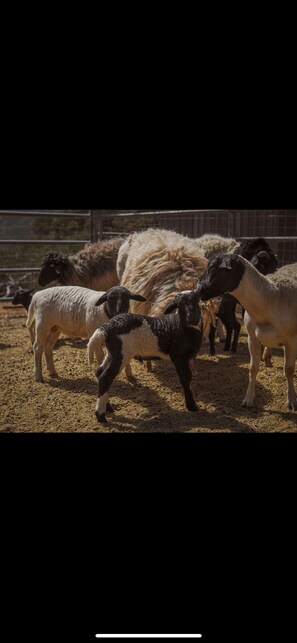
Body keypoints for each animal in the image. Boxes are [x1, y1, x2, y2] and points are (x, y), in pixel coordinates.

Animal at [88, 290, 204, 422]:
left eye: (196, 301)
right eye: (179, 305)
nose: (191, 317)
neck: (182, 325)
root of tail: (105, 328)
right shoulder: (179, 357)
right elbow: (186, 379)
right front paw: (192, 406)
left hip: (112, 353)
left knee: (99, 372)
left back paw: (108, 408)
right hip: (122, 355)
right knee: (105, 377)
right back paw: (101, 415)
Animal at [197, 254, 297, 410]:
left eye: (213, 267)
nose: (198, 288)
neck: (270, 299)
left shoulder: (291, 340)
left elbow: (289, 369)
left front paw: (292, 400)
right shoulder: (252, 338)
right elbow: (252, 368)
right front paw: (248, 399)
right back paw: (267, 357)